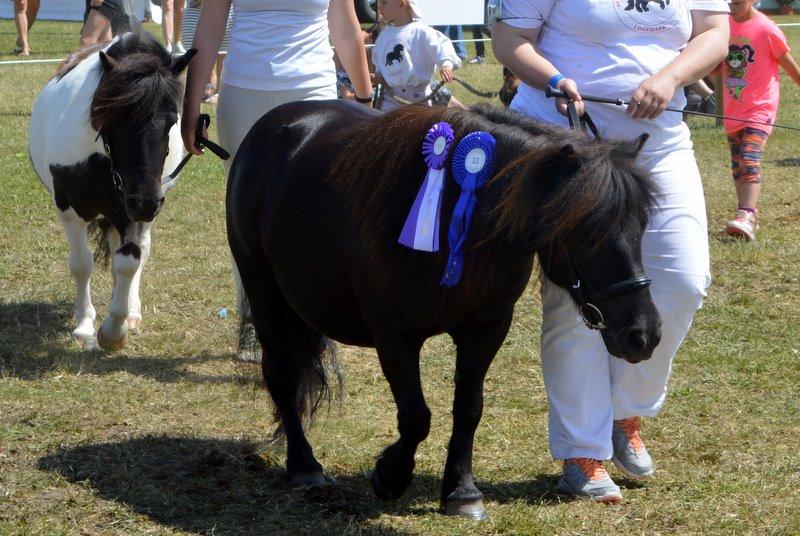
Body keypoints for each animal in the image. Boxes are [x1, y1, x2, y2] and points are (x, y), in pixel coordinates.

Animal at [30, 32, 196, 352]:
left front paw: (115, 329)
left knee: (140, 250)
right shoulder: (71, 210)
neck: (100, 159)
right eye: (117, 119)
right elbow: (81, 266)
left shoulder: (129, 212)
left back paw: (131, 311)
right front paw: (84, 326)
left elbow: (130, 261)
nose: (146, 202)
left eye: (172, 120)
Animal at [227, 100, 664, 520]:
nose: (644, 334)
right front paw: (389, 476)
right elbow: (416, 416)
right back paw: (303, 465)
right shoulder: (395, 337)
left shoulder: (485, 329)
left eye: (643, 224)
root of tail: (277, 126)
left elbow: (468, 409)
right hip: (263, 291)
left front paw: (461, 492)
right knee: (281, 375)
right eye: (586, 231)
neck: (459, 220)